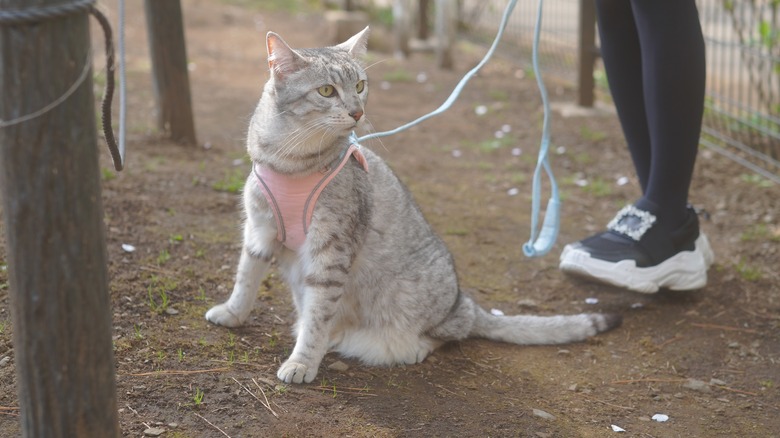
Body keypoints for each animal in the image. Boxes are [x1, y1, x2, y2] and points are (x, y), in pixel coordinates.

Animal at [206, 27, 620, 384]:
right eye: (326, 91)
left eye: (360, 86)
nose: (357, 112)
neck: (289, 162)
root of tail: (466, 303)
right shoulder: (259, 230)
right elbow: (246, 277)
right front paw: (232, 313)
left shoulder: (331, 252)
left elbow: (317, 315)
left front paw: (303, 362)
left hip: (420, 300)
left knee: (448, 333)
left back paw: (407, 346)